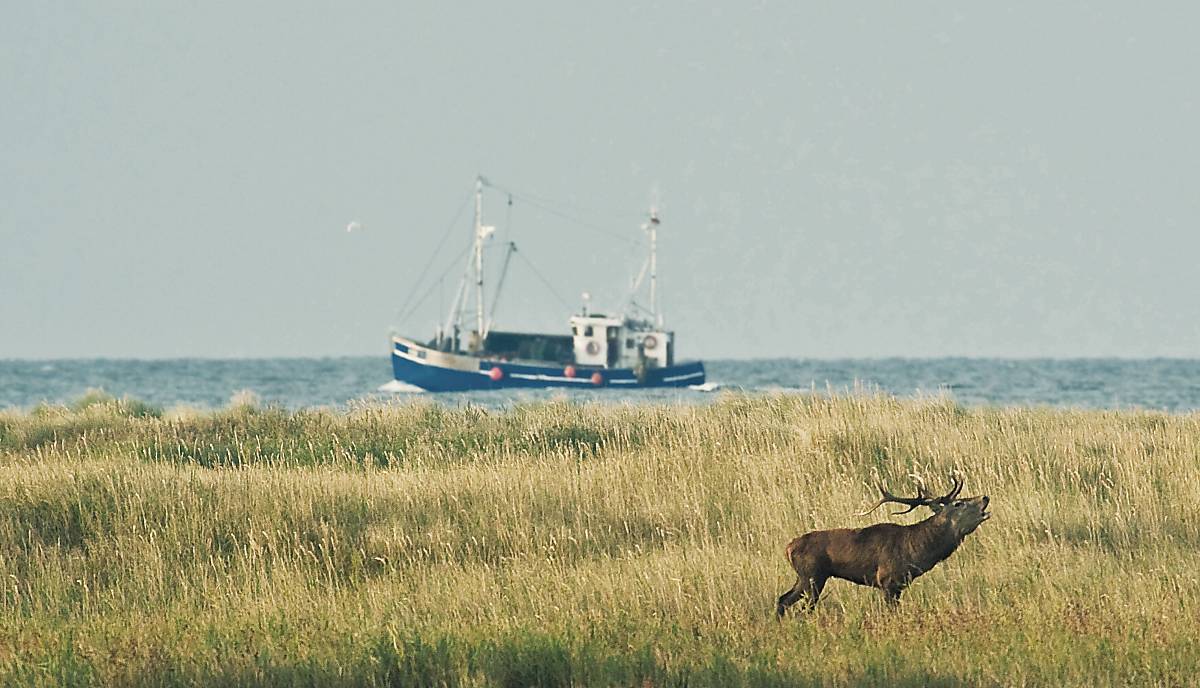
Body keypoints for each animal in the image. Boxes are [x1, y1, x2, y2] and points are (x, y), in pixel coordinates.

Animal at [776, 475, 989, 618]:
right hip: (812, 575)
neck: (916, 550)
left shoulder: (899, 585)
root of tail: (788, 548)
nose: (985, 498)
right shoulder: (888, 580)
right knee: (800, 607)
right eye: (959, 503)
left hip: (805, 577)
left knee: (782, 600)